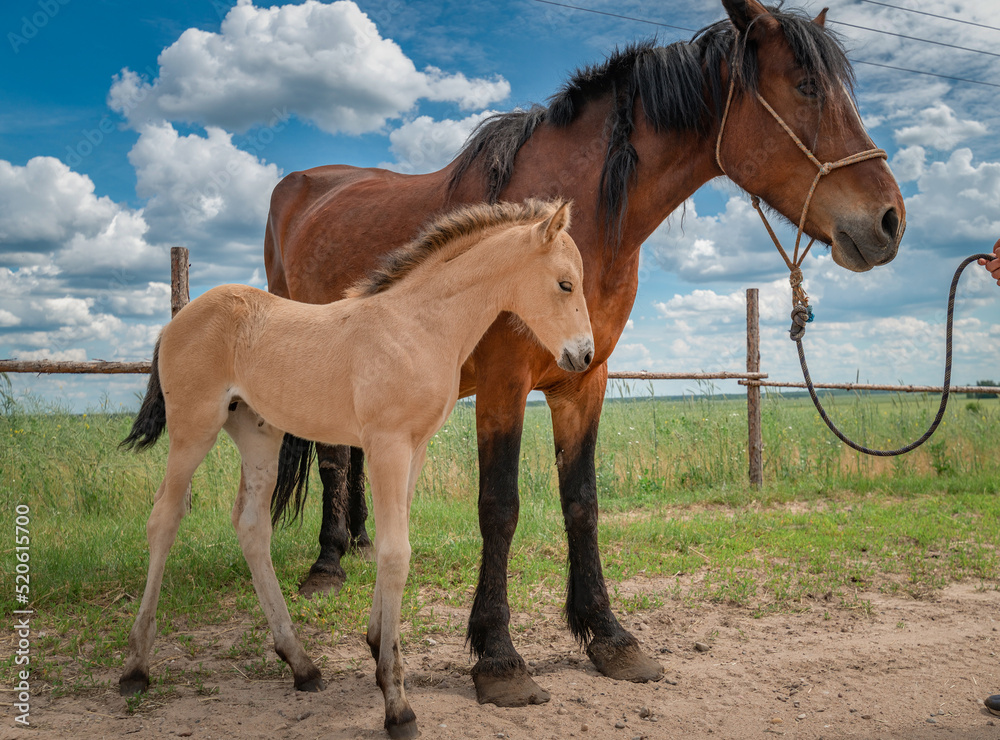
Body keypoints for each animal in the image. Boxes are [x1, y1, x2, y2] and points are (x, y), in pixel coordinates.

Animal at [117, 200, 592, 739]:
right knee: (164, 518)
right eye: (565, 284)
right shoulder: (387, 446)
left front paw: (377, 644)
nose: (584, 355)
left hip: (258, 434)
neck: (419, 326)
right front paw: (396, 701)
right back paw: (136, 668)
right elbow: (395, 553)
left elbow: (392, 545)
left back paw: (301, 664)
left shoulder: (414, 449)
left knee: (251, 527)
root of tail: (176, 322)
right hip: (193, 429)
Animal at [264, 0, 906, 707]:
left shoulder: (585, 381)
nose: (889, 221)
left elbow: (583, 504)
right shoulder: (504, 383)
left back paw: (356, 545)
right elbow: (500, 506)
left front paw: (609, 636)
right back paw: (327, 564)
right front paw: (499, 657)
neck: (576, 234)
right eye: (807, 85)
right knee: (331, 461)